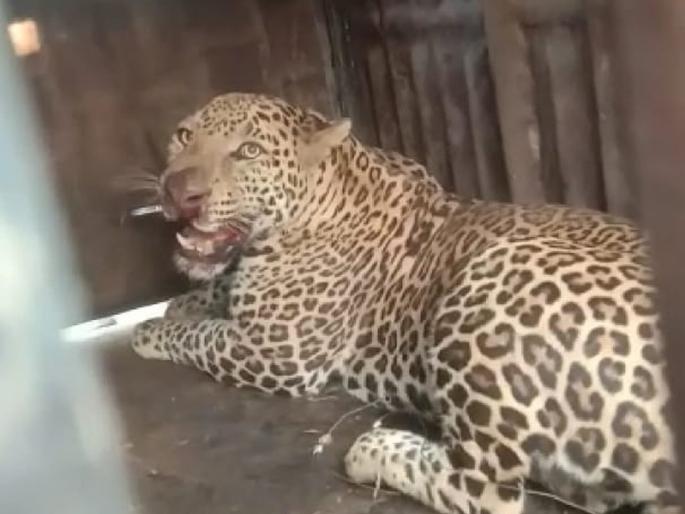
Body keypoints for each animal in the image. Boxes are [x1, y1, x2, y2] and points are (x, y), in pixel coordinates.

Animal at [132, 92, 679, 514]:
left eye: (247, 151)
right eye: (184, 136)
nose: (179, 191)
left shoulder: (276, 352)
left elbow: (201, 337)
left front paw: (151, 330)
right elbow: (212, 293)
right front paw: (186, 302)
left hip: (492, 277)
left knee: (488, 493)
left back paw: (373, 447)